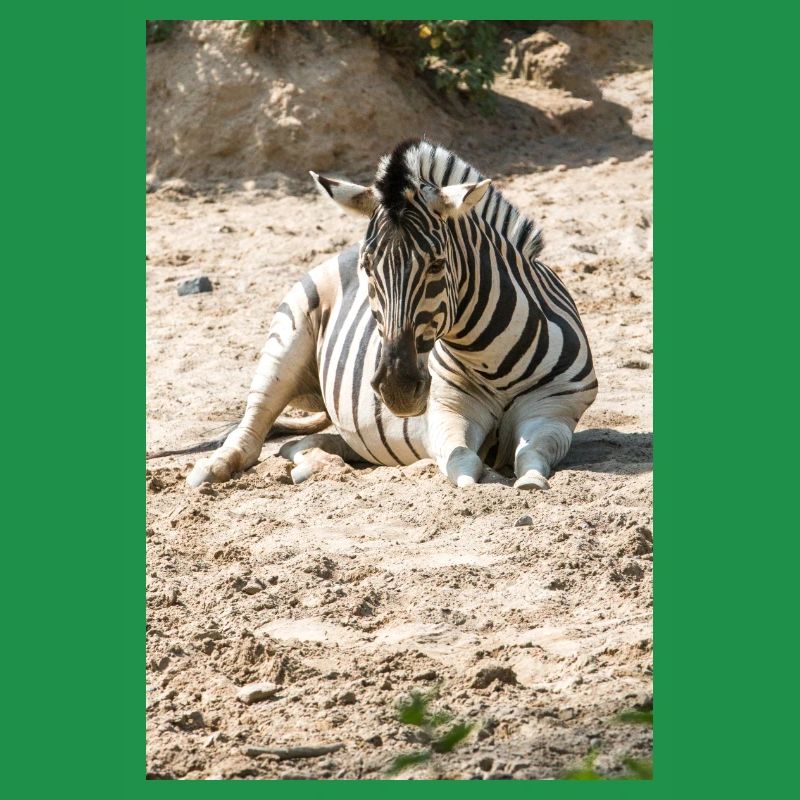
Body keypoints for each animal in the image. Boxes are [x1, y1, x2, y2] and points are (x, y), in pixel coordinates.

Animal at [186, 139, 597, 490]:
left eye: (437, 264)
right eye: (368, 267)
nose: (396, 388)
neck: (489, 357)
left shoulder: (555, 410)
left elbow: (531, 454)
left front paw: (529, 481)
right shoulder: (447, 411)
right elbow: (464, 463)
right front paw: (483, 479)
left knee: (304, 444)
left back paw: (315, 465)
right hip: (286, 340)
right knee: (254, 424)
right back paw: (212, 469)